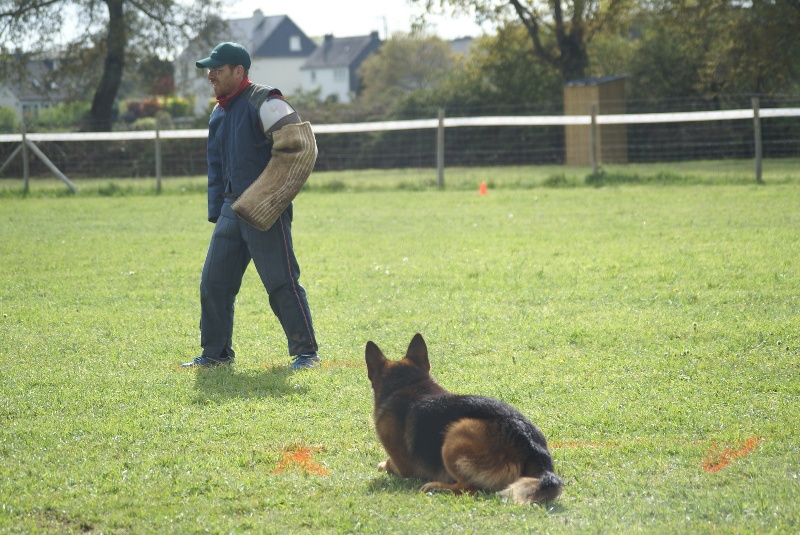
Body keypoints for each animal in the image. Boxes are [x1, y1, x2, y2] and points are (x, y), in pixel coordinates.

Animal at [368, 332, 564, 504]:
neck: (408, 385)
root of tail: (531, 445)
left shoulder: (403, 466)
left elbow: (387, 464)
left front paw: (382, 465)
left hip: (456, 435)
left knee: (467, 488)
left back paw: (435, 487)